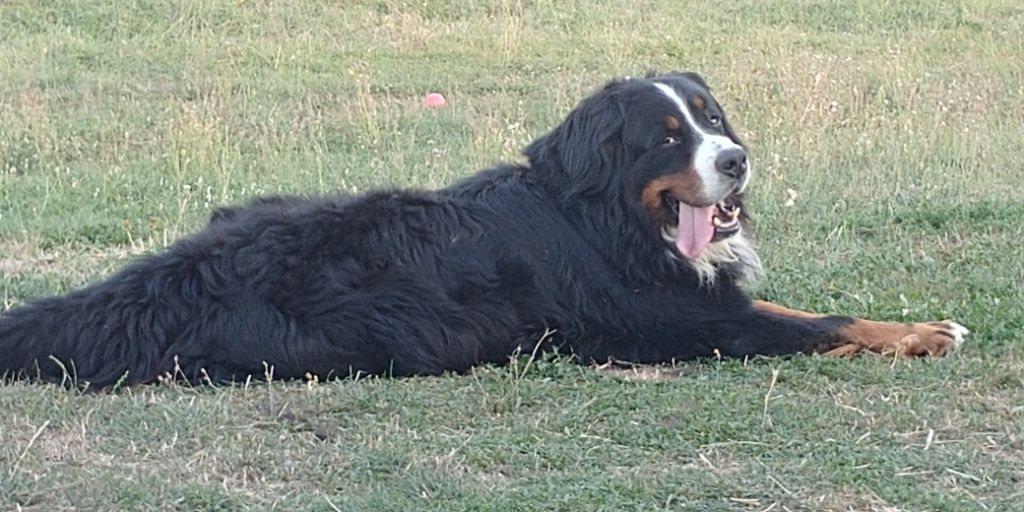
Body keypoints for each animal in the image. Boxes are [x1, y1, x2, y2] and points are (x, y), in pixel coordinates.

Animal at [0, 73, 966, 387]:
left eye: (713, 117)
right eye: (665, 138)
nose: (736, 160)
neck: (600, 216)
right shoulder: (682, 322)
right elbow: (822, 321)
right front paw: (925, 332)